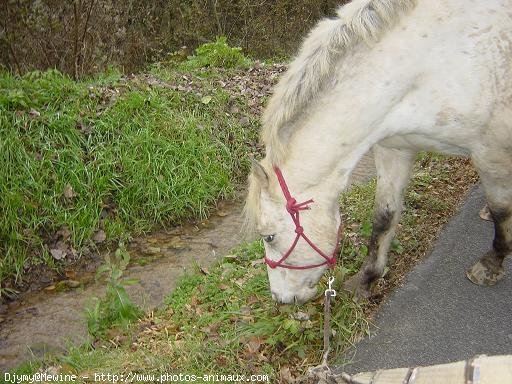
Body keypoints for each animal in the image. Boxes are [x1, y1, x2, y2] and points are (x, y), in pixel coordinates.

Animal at [244, 0, 512, 304]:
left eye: (268, 237)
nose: (280, 298)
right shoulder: (395, 149)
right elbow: (384, 216)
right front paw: (366, 279)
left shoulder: (491, 154)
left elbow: (501, 209)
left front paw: (491, 264)